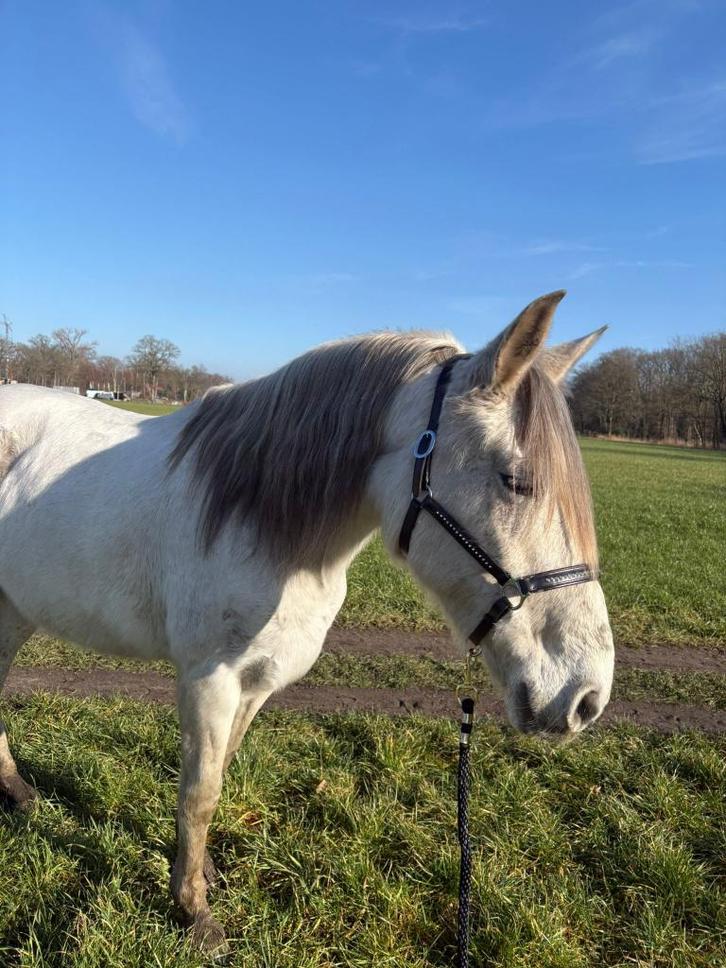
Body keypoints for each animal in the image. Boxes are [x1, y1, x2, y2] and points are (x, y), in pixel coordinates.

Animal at [0, 291, 614, 953]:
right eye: (516, 480)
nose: (586, 696)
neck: (265, 521)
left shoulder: (255, 682)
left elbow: (220, 772)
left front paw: (202, 875)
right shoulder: (208, 679)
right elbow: (200, 792)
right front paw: (194, 913)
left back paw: (20, 794)